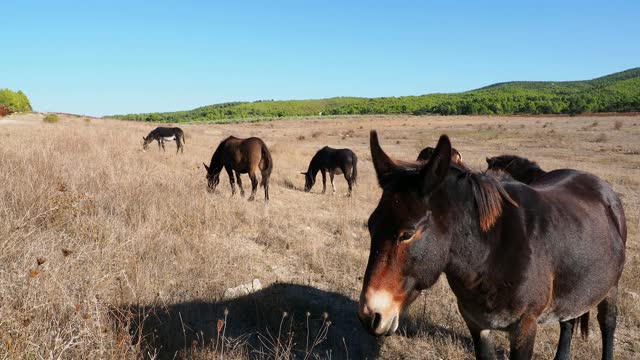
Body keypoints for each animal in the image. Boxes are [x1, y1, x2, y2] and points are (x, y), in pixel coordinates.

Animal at [358, 131, 628, 360]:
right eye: (371, 226)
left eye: (407, 234)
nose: (369, 316)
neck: (489, 254)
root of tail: (597, 181)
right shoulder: (477, 323)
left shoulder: (525, 326)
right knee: (568, 321)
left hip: (611, 287)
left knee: (608, 324)